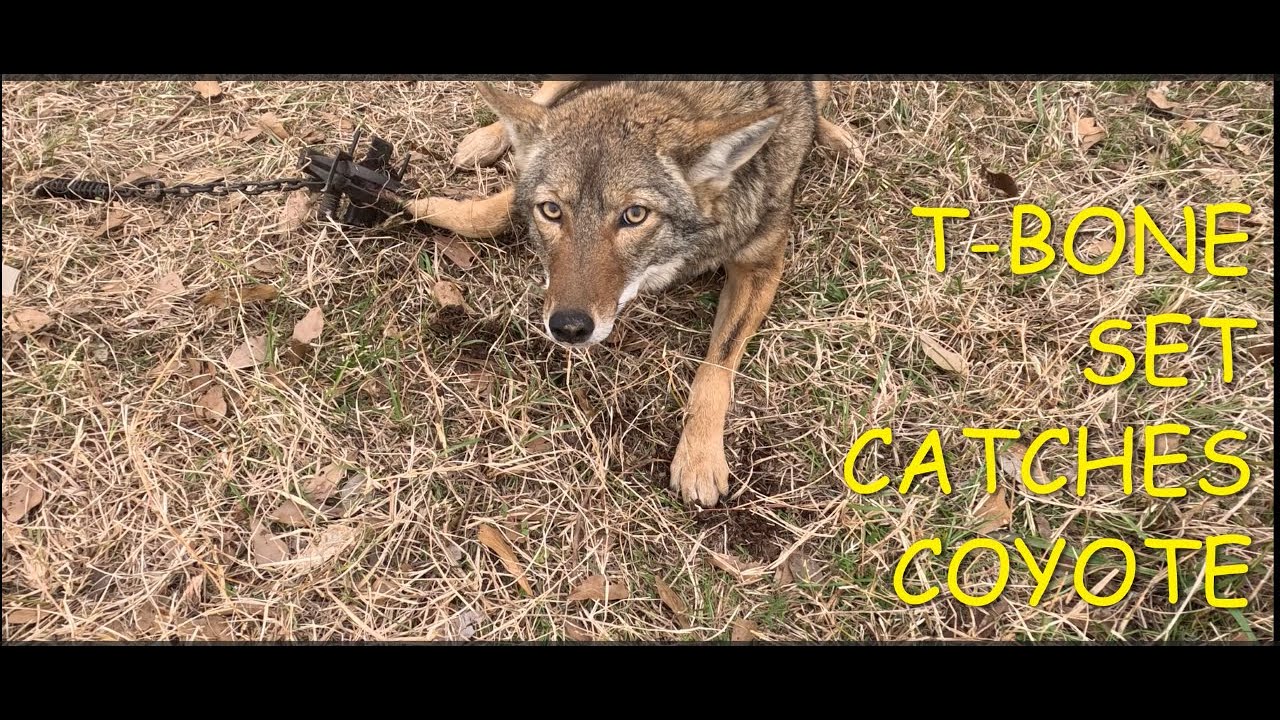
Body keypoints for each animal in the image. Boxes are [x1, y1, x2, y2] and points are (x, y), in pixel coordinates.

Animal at [402, 79, 856, 507]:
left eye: (634, 215)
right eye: (551, 210)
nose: (568, 328)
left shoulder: (761, 266)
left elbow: (717, 365)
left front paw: (699, 457)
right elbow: (495, 209)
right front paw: (418, 205)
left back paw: (837, 137)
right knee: (540, 99)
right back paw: (485, 140)